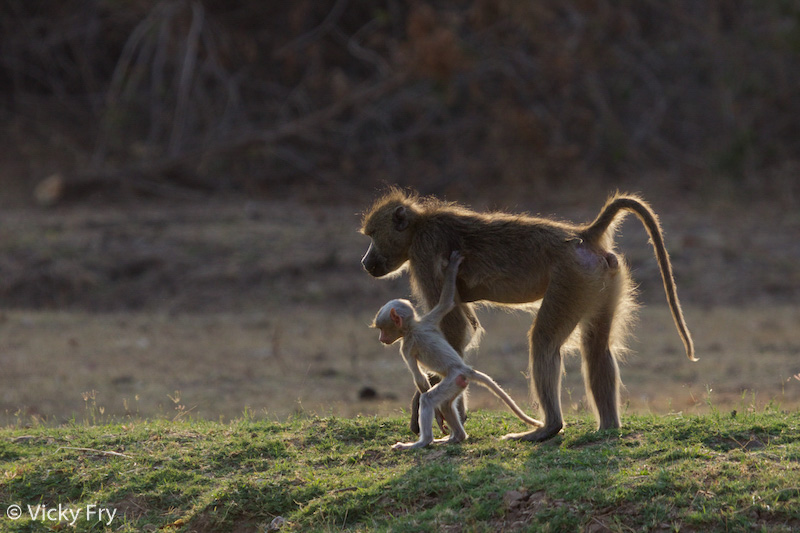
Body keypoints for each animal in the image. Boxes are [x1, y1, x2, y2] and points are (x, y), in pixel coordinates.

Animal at [372, 251, 543, 449]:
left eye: (383, 329)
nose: (381, 338)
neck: (413, 327)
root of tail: (464, 369)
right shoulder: (429, 319)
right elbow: (446, 303)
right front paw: (452, 269)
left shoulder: (406, 347)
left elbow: (420, 379)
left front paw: (436, 418)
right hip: (458, 383)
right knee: (447, 404)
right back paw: (456, 437)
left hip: (453, 379)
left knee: (428, 399)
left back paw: (423, 441)